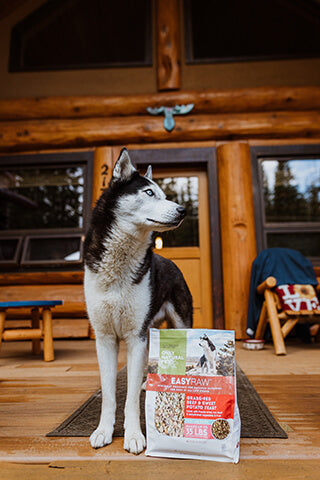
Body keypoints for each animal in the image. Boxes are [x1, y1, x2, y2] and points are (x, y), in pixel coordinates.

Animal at [83, 149, 192, 454]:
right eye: (149, 192)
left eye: (164, 195)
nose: (183, 210)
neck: (119, 265)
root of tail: (170, 262)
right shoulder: (106, 338)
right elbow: (110, 394)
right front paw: (103, 431)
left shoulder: (135, 337)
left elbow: (130, 398)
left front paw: (133, 435)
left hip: (178, 325)